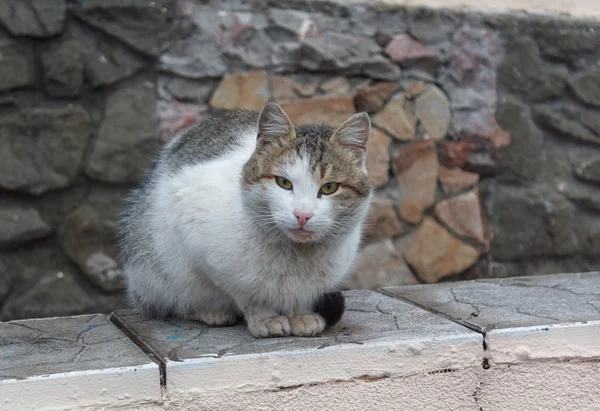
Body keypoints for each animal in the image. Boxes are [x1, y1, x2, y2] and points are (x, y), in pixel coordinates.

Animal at [119, 102, 372, 338]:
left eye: (329, 187)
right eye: (284, 183)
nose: (302, 214)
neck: (295, 255)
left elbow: (301, 297)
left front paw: (300, 315)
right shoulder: (193, 226)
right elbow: (249, 295)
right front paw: (266, 318)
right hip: (156, 272)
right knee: (174, 303)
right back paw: (210, 312)